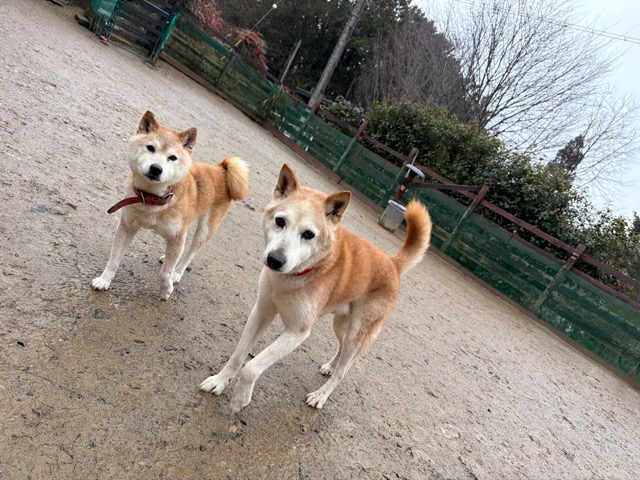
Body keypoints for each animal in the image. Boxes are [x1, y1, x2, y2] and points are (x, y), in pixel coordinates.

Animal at [91, 111, 249, 300]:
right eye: (150, 148)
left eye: (172, 157)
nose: (156, 168)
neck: (151, 198)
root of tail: (221, 169)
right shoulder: (127, 226)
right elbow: (114, 259)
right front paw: (104, 280)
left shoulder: (177, 236)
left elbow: (165, 272)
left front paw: (166, 289)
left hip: (205, 230)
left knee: (190, 253)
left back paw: (177, 272)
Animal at [200, 164, 431, 412]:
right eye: (280, 221)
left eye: (308, 234)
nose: (275, 260)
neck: (290, 278)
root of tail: (393, 264)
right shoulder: (261, 311)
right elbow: (238, 355)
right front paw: (219, 381)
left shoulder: (297, 332)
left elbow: (252, 366)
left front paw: (240, 399)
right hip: (341, 326)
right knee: (342, 352)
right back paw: (331, 366)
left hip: (357, 333)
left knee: (344, 371)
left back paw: (320, 395)